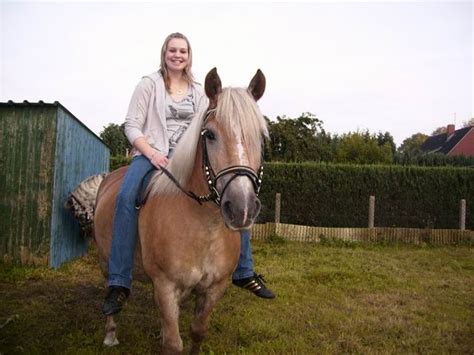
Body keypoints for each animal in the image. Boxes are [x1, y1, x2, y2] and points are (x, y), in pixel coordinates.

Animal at [90, 68, 266, 354]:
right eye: (210, 135)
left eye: (260, 137)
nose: (242, 208)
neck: (204, 226)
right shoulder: (165, 285)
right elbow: (173, 344)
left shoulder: (214, 288)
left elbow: (197, 331)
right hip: (106, 262)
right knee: (112, 291)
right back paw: (111, 333)